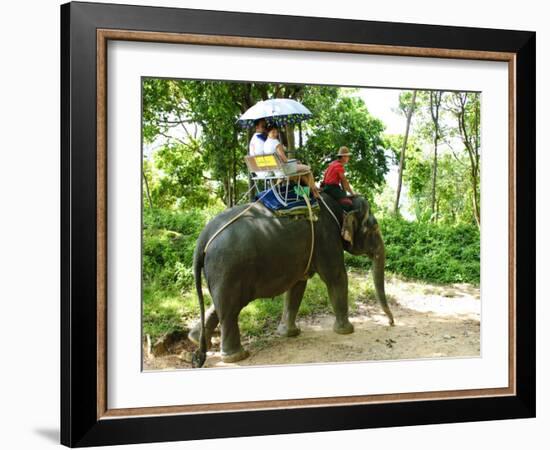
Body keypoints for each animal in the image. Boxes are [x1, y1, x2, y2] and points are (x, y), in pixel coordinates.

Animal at [192, 192, 394, 368]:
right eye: (375, 228)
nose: (391, 323)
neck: (340, 204)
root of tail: (203, 238)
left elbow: (297, 286)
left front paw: (289, 334)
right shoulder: (327, 238)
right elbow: (336, 277)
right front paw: (346, 331)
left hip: (222, 272)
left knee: (221, 305)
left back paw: (196, 339)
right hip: (228, 267)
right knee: (230, 309)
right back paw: (235, 356)